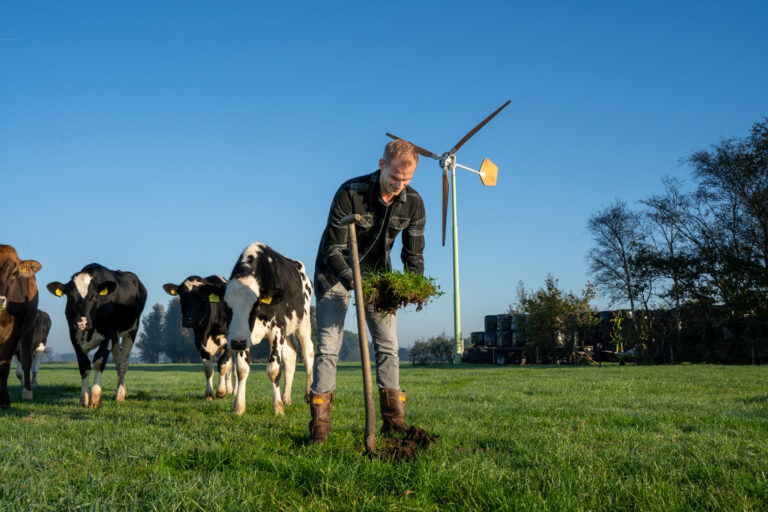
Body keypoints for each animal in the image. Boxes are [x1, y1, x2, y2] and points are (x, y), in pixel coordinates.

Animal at [0, 244, 42, 408]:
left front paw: (4, 400)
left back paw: (27, 393)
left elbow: (4, 365)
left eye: (14, 273)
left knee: (26, 360)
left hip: (28, 328)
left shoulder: (14, 331)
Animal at [47, 264, 147, 408]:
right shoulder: (74, 337)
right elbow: (84, 366)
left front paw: (95, 398)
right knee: (118, 361)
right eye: (70, 297)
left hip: (131, 331)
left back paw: (120, 395)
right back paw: (122, 390)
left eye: (94, 297)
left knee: (123, 362)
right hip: (116, 337)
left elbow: (99, 362)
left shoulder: (108, 336)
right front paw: (84, 398)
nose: (81, 323)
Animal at [224, 242, 314, 414]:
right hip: (287, 330)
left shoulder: (277, 329)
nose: (237, 343)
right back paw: (286, 398)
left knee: (308, 353)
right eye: (226, 305)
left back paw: (308, 392)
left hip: (303, 322)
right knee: (291, 356)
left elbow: (274, 370)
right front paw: (238, 407)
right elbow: (242, 370)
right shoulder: (244, 336)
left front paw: (277, 409)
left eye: (256, 305)